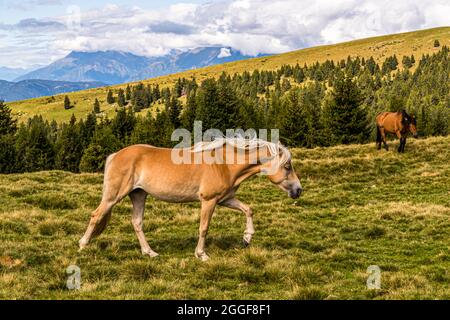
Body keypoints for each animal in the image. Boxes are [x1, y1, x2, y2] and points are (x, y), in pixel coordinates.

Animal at [79, 137, 304, 260]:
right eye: (287, 166)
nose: (298, 190)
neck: (224, 163)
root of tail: (116, 155)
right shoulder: (209, 201)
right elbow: (204, 228)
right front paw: (201, 254)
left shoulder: (225, 199)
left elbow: (248, 209)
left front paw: (247, 238)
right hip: (114, 196)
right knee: (96, 215)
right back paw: (82, 245)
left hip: (138, 194)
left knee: (136, 222)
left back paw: (150, 252)